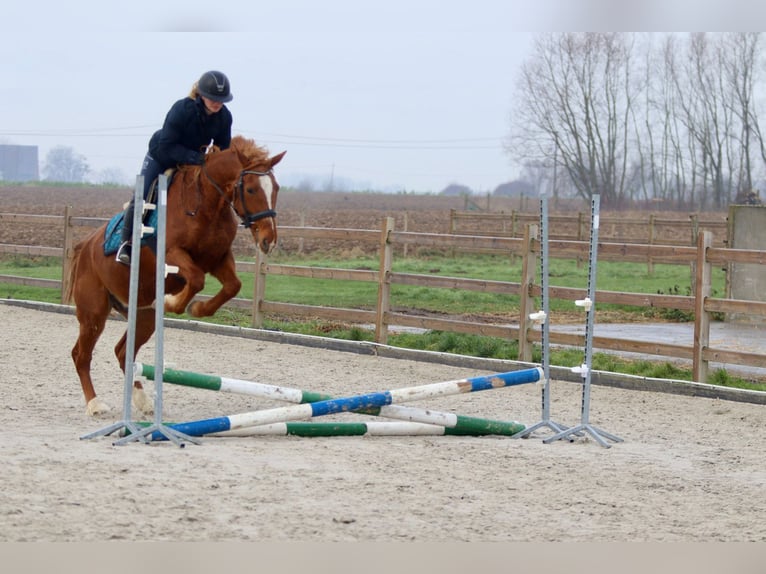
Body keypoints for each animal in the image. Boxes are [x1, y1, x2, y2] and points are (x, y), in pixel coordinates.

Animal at [64, 135, 286, 416]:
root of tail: (85, 246)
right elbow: (197, 278)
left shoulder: (219, 259)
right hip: (93, 312)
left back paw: (143, 401)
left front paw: (198, 308)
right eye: (251, 190)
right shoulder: (172, 254)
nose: (269, 240)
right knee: (81, 355)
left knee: (123, 352)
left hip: (144, 316)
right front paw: (173, 302)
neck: (206, 207)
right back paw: (95, 404)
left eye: (275, 188)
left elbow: (232, 286)